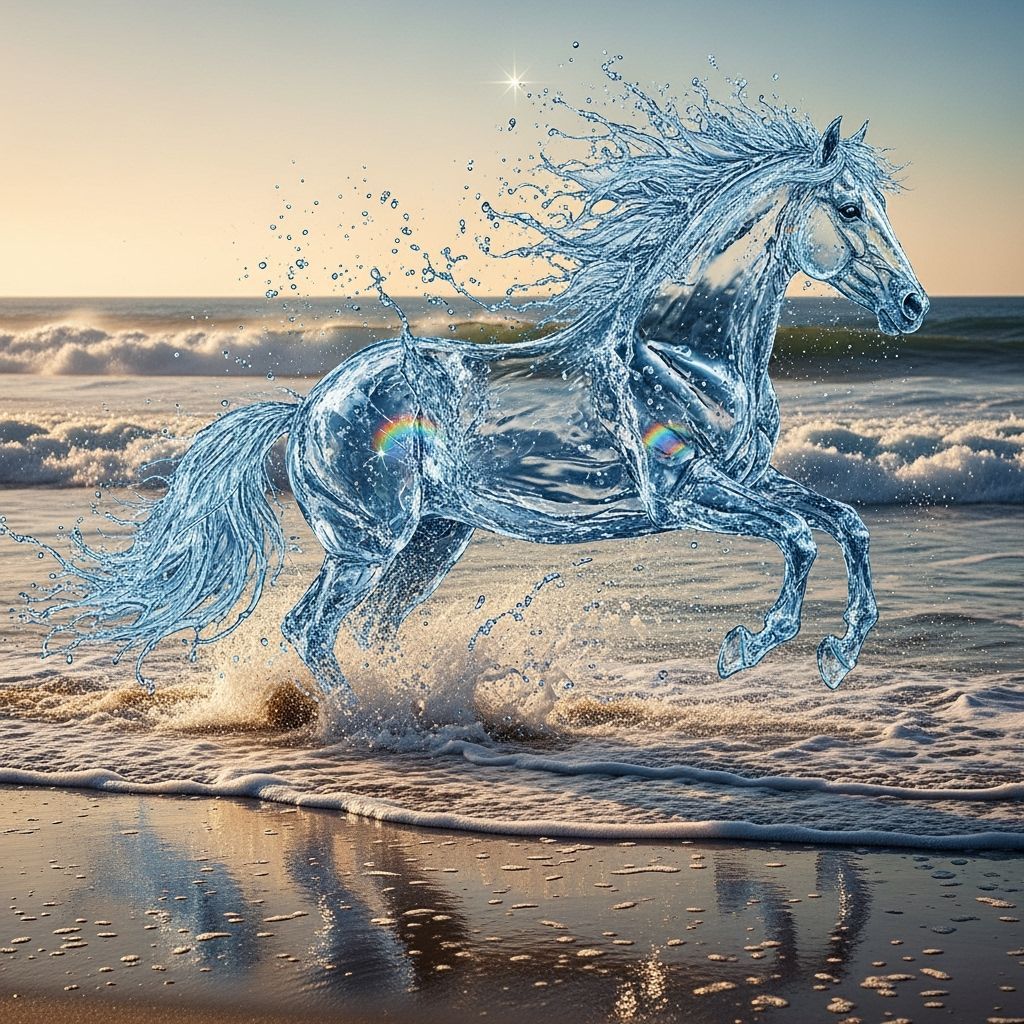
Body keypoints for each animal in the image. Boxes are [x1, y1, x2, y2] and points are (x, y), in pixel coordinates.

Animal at [23, 85, 928, 705]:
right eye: (850, 207)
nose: (914, 305)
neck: (683, 349)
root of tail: (306, 407)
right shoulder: (684, 494)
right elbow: (799, 539)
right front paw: (743, 648)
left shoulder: (748, 479)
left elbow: (844, 524)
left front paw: (837, 657)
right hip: (368, 543)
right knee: (308, 629)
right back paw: (362, 721)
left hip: (435, 539)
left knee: (372, 629)